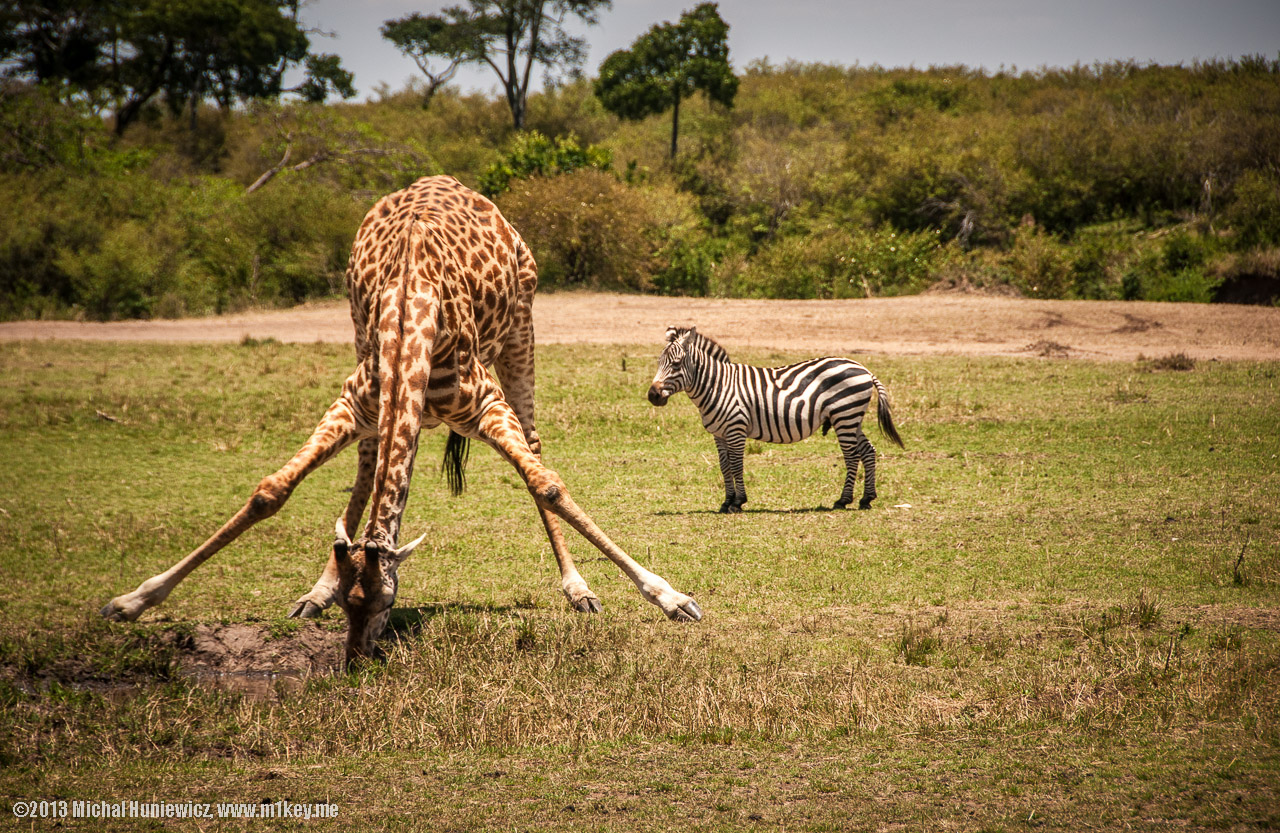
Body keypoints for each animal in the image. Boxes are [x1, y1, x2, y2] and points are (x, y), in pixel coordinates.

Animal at [98, 174, 701, 665]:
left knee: (533, 444)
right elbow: (271, 491)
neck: (411, 313)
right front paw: (131, 600)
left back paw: (578, 588)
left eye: (387, 601)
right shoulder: (355, 401)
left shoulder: (484, 403)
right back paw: (311, 592)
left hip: (522, 330)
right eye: (351, 605)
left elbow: (547, 485)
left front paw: (672, 598)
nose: (355, 660)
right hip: (358, 344)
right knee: (368, 466)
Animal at [645, 327, 906, 511]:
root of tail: (864, 368)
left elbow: (737, 465)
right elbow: (724, 466)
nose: (652, 395)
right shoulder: (719, 434)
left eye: (676, 363)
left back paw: (843, 500)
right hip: (851, 418)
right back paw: (866, 498)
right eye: (658, 363)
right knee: (868, 451)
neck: (717, 385)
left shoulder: (736, 428)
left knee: (852, 456)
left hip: (845, 415)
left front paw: (738, 502)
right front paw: (726, 501)